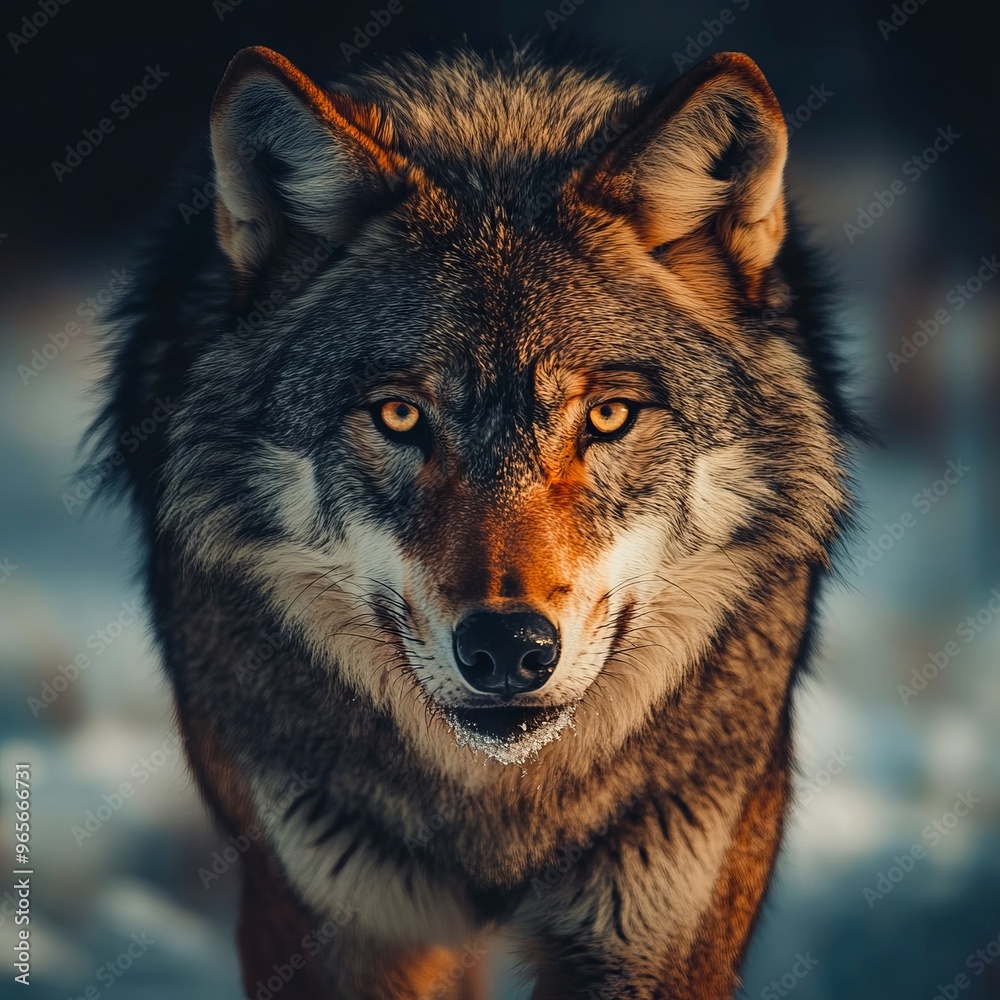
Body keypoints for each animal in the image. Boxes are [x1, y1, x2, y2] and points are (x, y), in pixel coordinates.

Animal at [91, 40, 857, 999]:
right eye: (400, 417)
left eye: (608, 417)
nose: (506, 649)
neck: (504, 805)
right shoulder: (333, 924)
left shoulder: (656, 926)